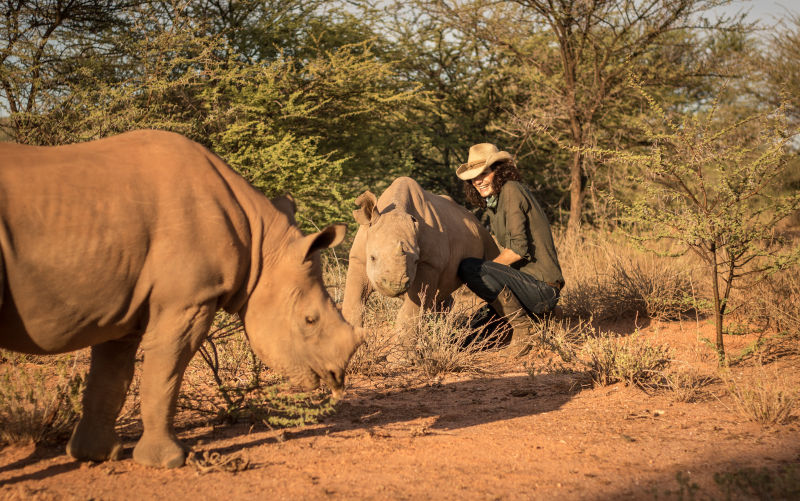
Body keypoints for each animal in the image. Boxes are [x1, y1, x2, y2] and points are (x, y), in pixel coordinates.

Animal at [340, 177, 496, 328]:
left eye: (416, 261)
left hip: (484, 234)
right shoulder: (358, 258)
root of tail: (474, 219)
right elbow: (354, 304)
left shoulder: (429, 264)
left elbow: (410, 312)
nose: (395, 285)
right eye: (372, 258)